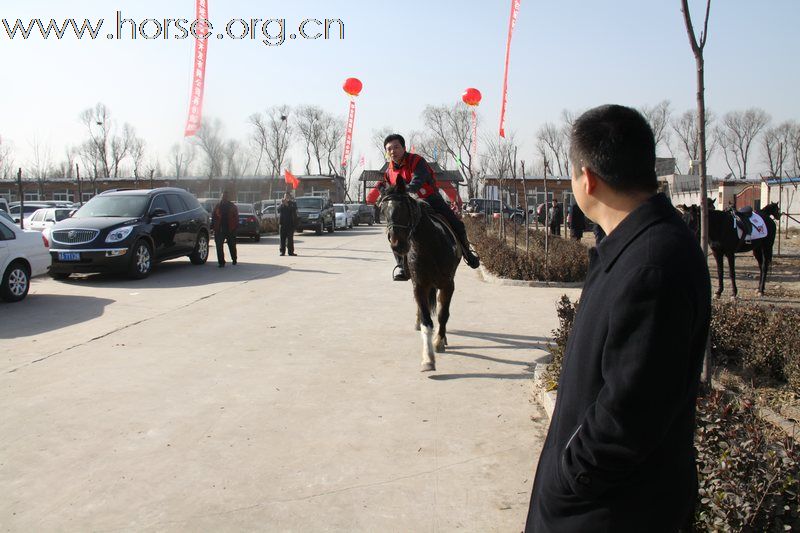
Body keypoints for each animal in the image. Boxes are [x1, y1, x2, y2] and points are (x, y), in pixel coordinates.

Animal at [382, 179, 462, 370]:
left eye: (403, 208)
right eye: (383, 211)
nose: (396, 244)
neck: (429, 245)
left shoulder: (448, 284)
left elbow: (442, 314)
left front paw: (439, 342)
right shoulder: (419, 284)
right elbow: (427, 321)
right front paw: (428, 359)